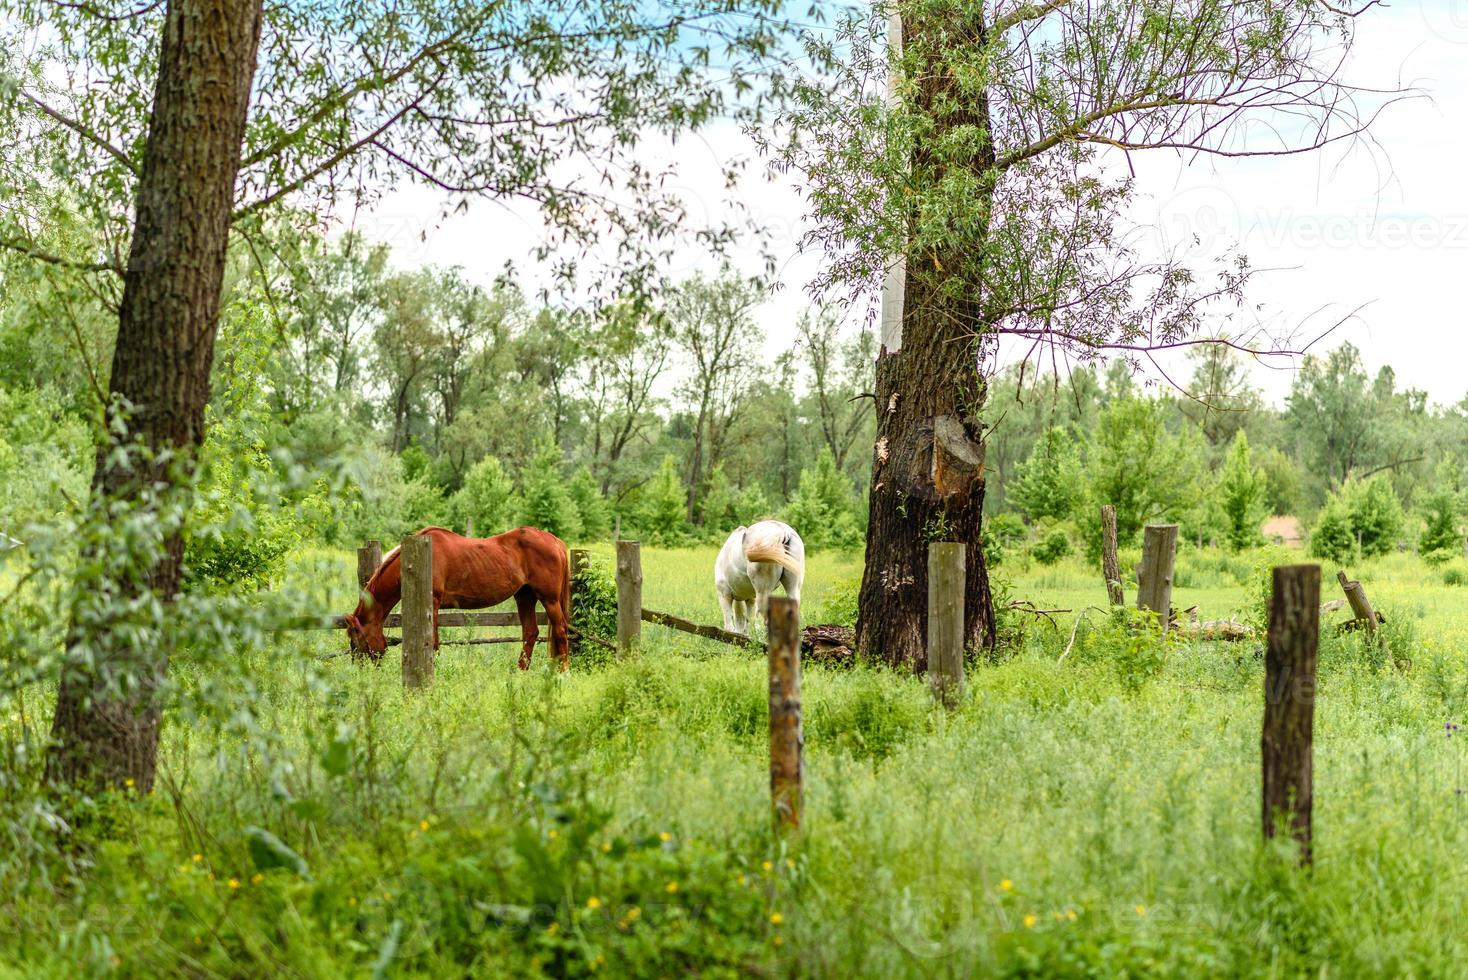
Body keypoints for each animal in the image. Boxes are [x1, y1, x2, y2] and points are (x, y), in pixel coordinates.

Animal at [343, 528, 572, 674]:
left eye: (356, 640)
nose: (359, 672)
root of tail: (556, 542)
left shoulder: (433, 604)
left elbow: (434, 641)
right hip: (525, 597)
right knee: (530, 632)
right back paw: (520, 671)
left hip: (549, 599)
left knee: (560, 630)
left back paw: (563, 671)